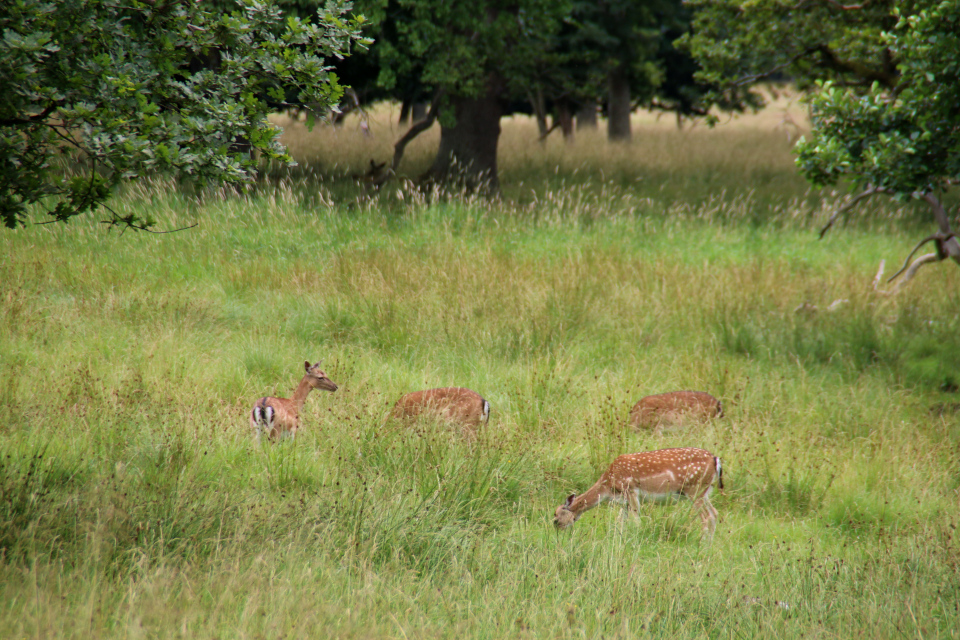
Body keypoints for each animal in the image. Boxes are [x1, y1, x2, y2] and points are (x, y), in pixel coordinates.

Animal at [552, 448, 724, 536]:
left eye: (556, 518)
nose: (558, 533)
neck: (608, 487)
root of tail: (715, 459)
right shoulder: (624, 502)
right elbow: (620, 522)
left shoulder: (631, 490)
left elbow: (636, 521)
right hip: (704, 491)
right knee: (715, 513)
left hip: (694, 489)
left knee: (707, 517)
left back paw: (703, 544)